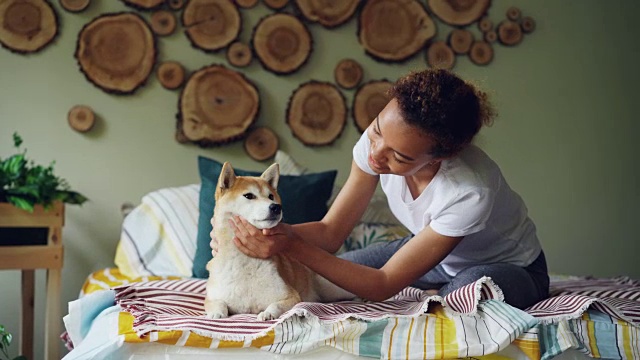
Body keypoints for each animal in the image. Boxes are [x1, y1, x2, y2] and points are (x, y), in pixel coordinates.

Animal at [205, 163, 352, 320]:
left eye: (271, 196)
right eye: (249, 196)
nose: (276, 207)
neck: (245, 261)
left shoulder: (291, 296)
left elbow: (277, 305)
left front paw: (268, 313)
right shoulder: (212, 297)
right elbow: (217, 303)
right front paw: (216, 314)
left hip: (334, 286)